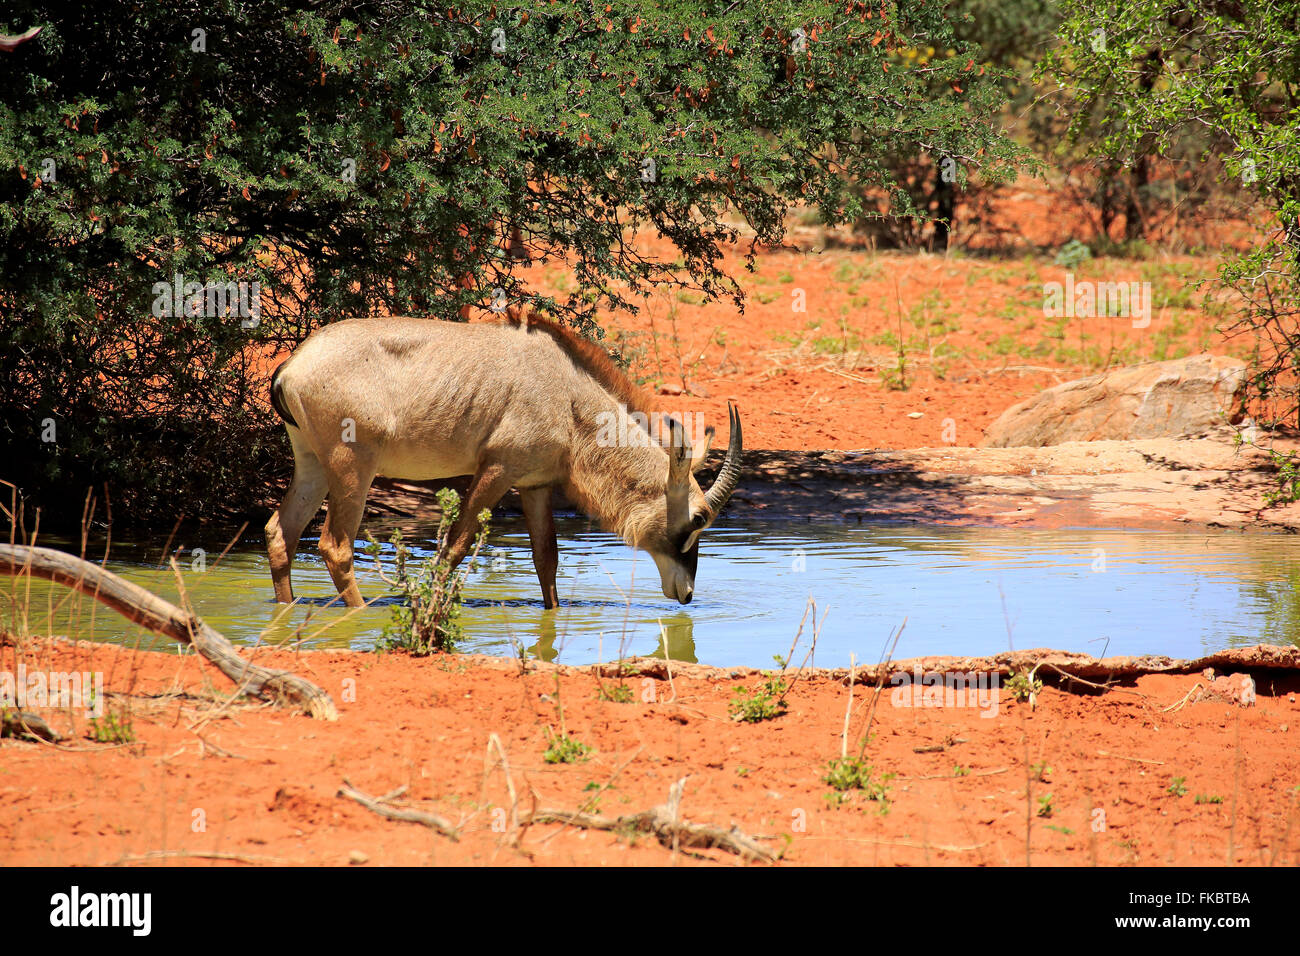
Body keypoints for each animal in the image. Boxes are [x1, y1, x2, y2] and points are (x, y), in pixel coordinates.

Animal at [263, 314, 743, 613]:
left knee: (280, 532)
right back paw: (361, 612)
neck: (567, 391)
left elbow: (546, 558)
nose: (687, 593)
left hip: (313, 464)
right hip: (352, 467)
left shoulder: (535, 485)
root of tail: (293, 365)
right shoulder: (497, 470)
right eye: (698, 519)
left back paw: (285, 610)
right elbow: (455, 547)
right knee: (335, 545)